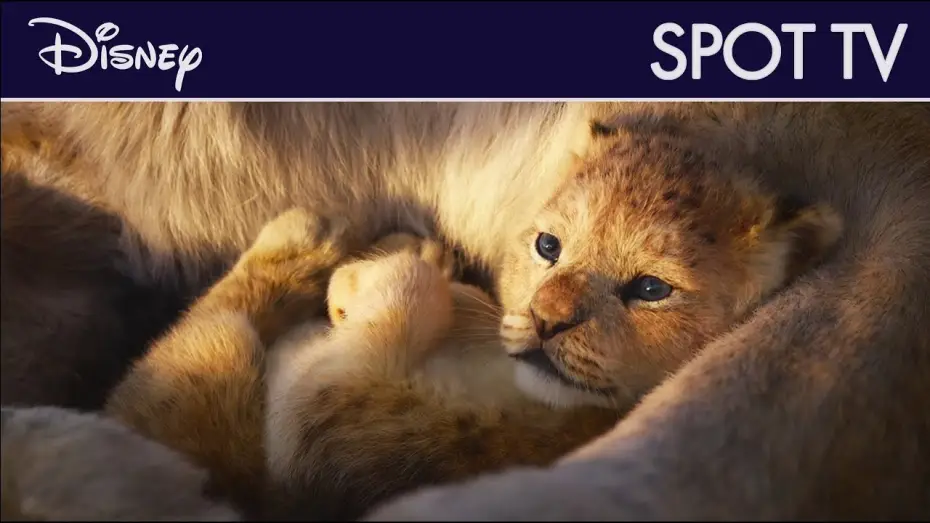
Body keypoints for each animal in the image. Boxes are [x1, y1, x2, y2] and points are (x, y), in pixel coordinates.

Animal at [2, 102, 929, 519]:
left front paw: (387, 269)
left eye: (651, 289)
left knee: (212, 331)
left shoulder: (326, 422)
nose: (548, 321)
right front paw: (403, 264)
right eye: (549, 245)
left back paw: (310, 236)